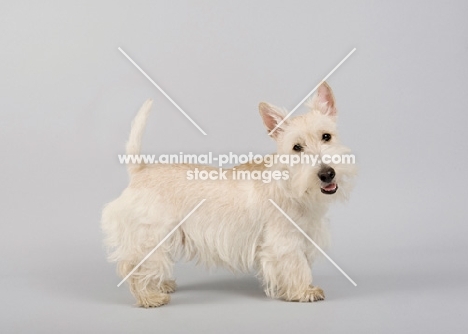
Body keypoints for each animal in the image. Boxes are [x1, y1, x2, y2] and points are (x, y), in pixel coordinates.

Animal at [101, 82, 354, 306]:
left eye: (326, 136)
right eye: (297, 148)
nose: (327, 173)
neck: (292, 185)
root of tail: (140, 171)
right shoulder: (283, 241)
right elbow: (296, 265)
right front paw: (303, 291)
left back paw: (160, 286)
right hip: (148, 238)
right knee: (134, 268)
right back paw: (150, 297)